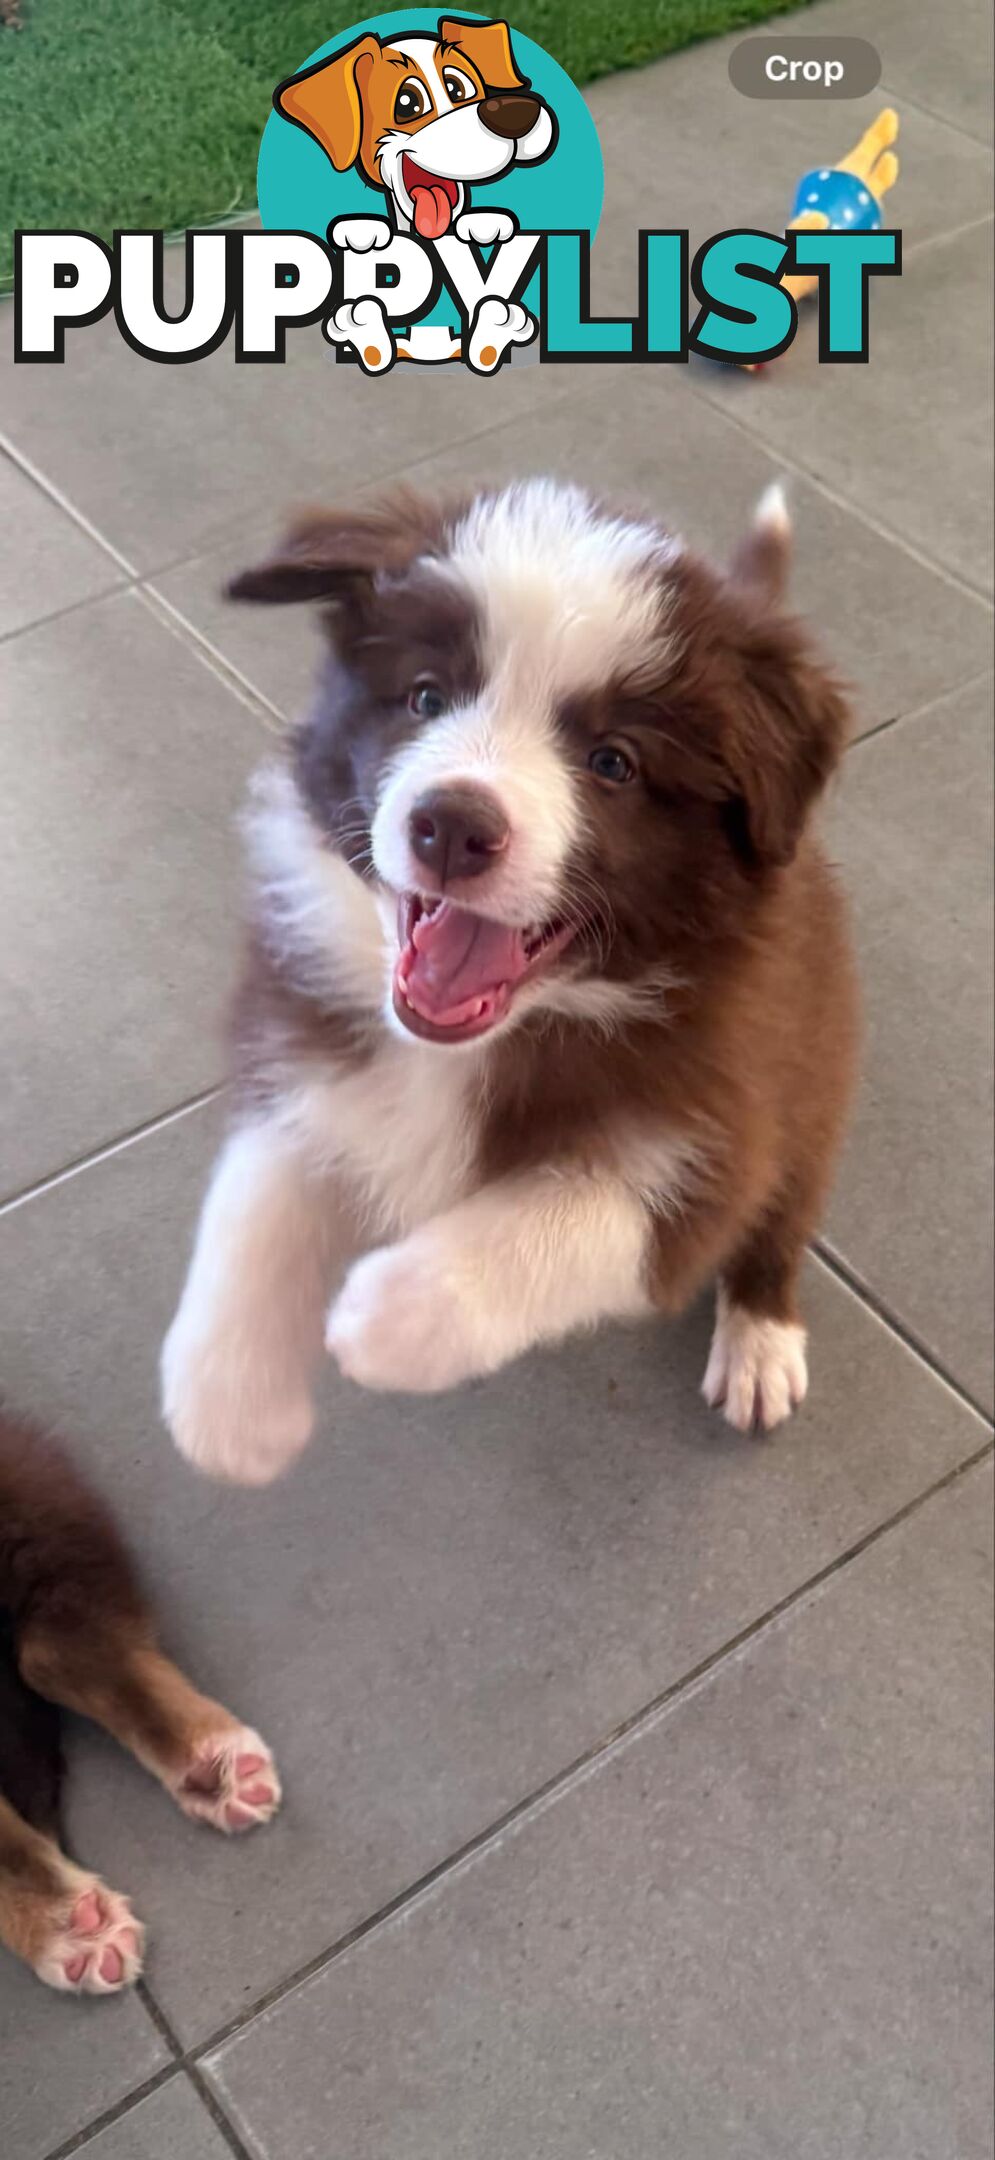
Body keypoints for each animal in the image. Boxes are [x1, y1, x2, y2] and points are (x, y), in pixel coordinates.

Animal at [160, 475, 854, 1494]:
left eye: (613, 762)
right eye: (424, 696)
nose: (452, 825)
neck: (480, 1041)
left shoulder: (720, 1119)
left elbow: (576, 1219)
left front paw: (396, 1313)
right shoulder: (300, 1029)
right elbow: (261, 1189)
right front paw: (230, 1400)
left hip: (814, 1067)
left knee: (783, 1218)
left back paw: (760, 1340)